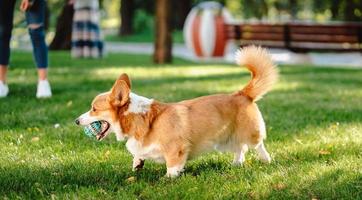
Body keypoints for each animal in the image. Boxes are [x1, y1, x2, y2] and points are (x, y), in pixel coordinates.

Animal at [75, 46, 280, 177]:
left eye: (94, 109)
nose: (76, 121)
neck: (141, 119)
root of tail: (242, 94)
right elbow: (138, 154)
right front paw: (137, 164)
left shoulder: (176, 149)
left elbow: (172, 167)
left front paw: (167, 179)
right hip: (226, 139)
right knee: (240, 148)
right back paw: (236, 164)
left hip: (251, 133)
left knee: (257, 145)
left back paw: (266, 160)